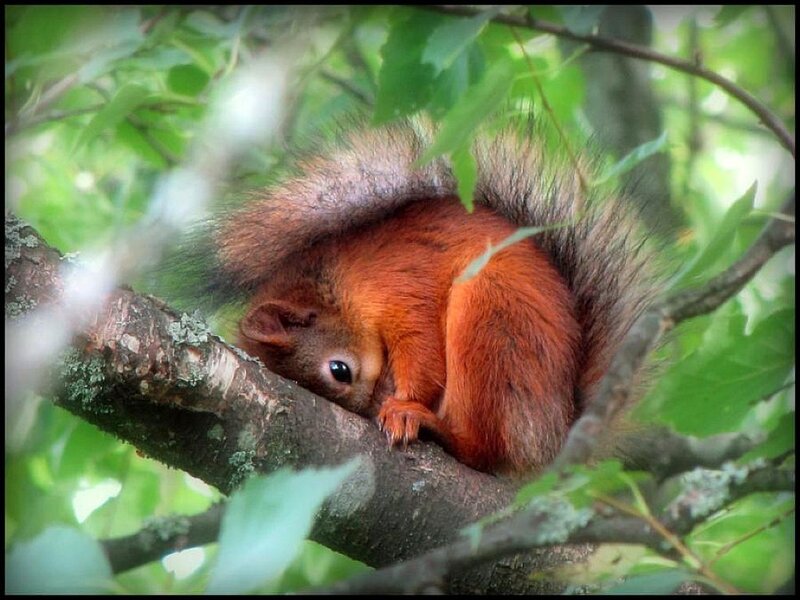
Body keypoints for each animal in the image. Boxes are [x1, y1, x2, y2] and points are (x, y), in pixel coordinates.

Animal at [202, 121, 657, 475]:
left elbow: (422, 353)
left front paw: (402, 406)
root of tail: (555, 429)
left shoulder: (404, 286)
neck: (340, 282)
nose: (370, 406)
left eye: (339, 371)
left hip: (491, 317)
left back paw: (434, 427)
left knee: (481, 450)